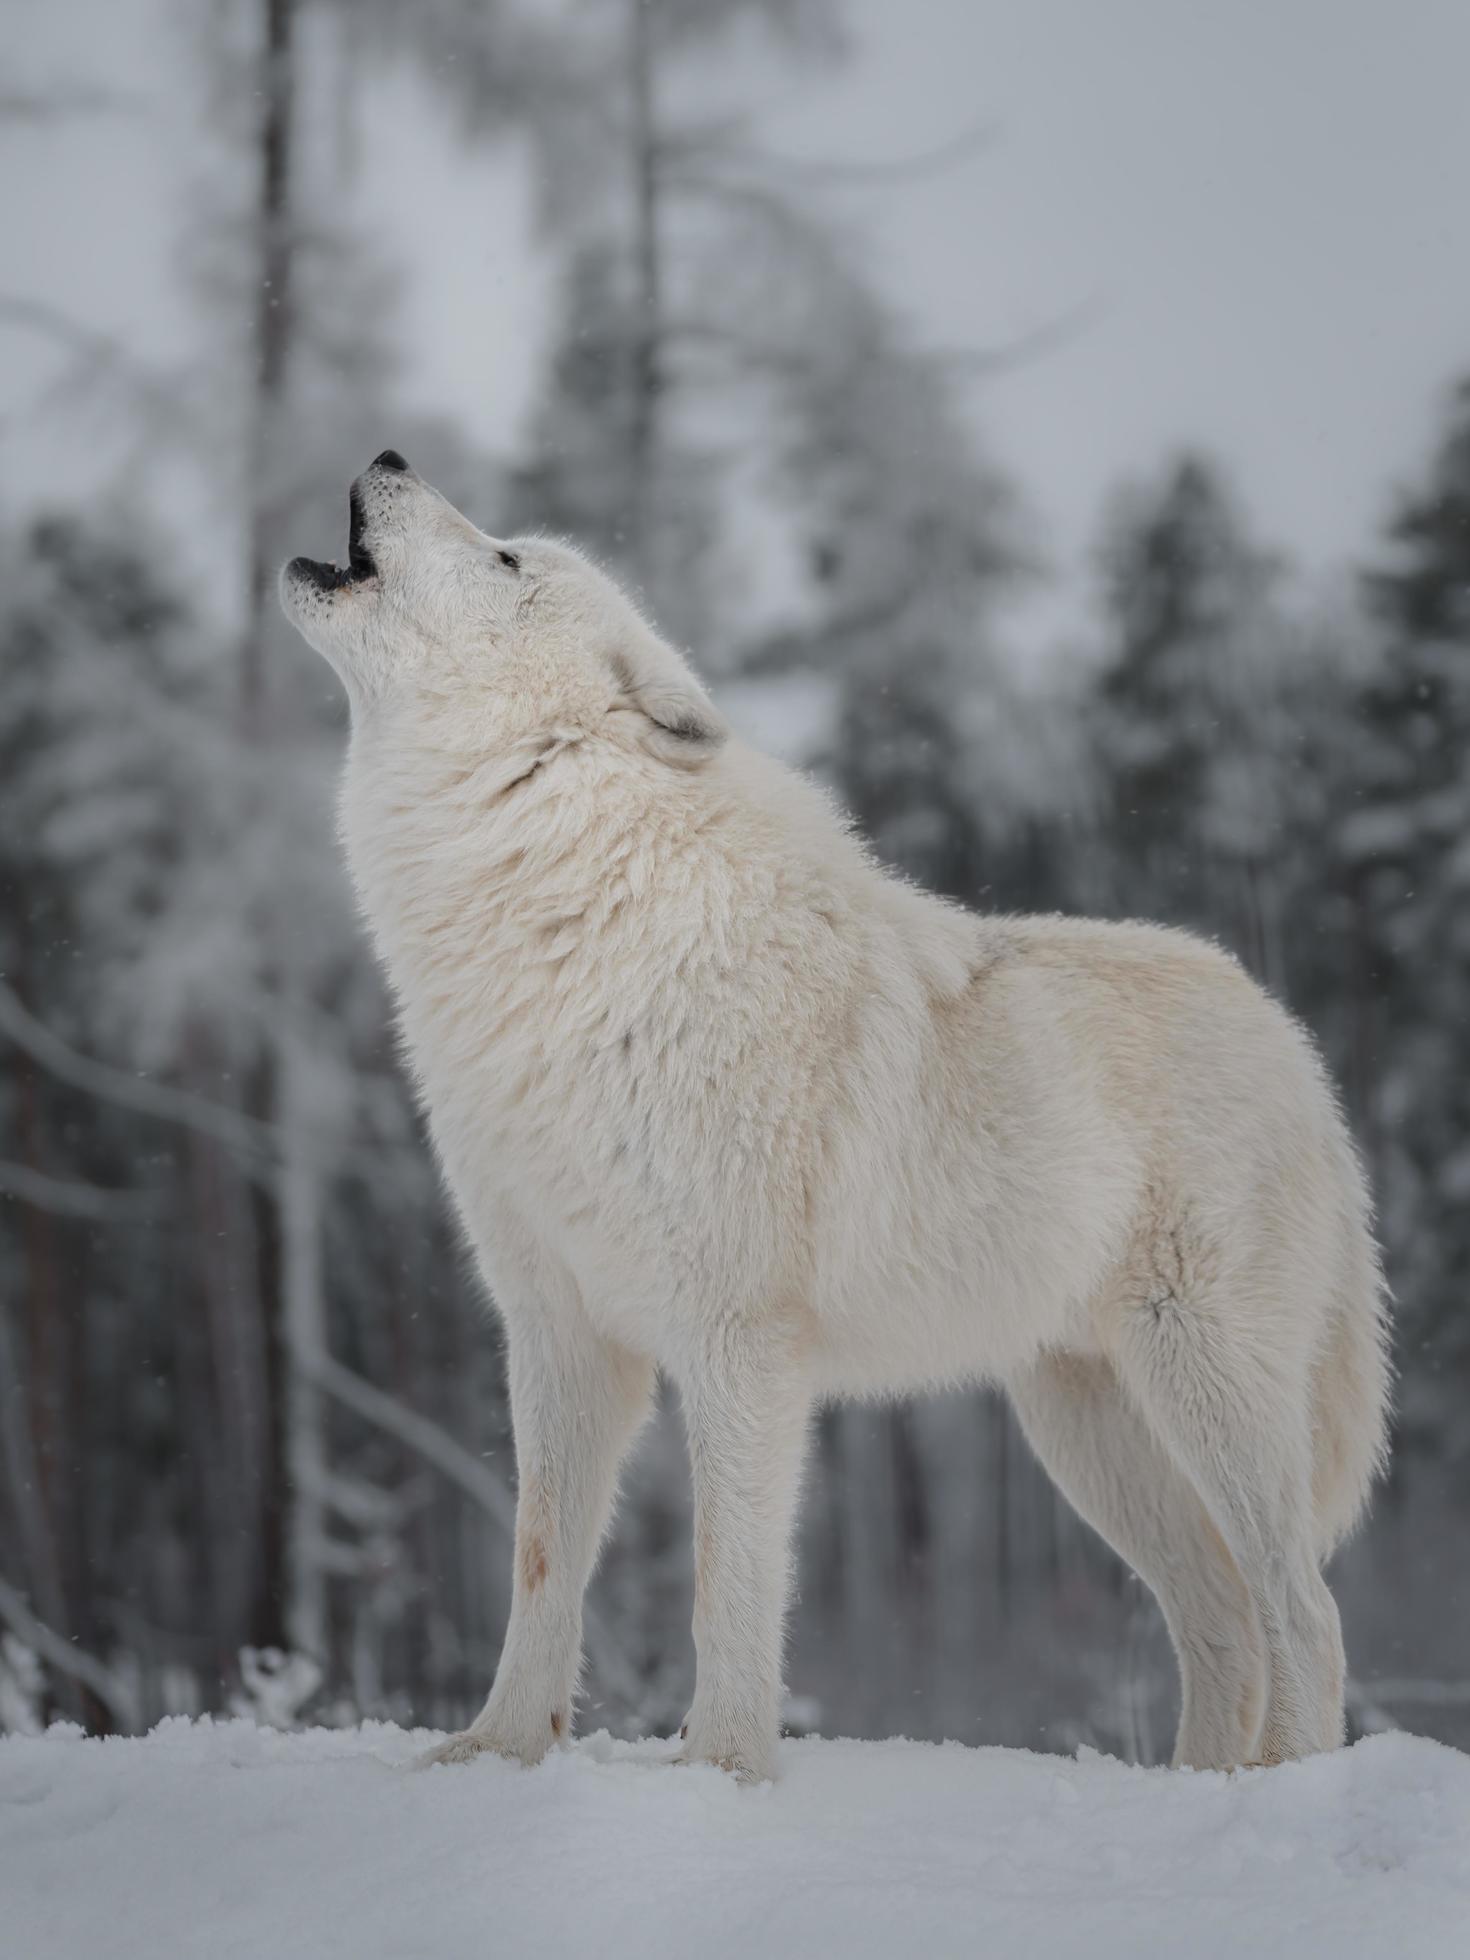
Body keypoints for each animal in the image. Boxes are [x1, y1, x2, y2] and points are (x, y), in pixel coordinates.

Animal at [278, 450, 1395, 1787]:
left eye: (504, 558)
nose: (389, 457)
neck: (565, 901)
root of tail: (1298, 1045)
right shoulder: (555, 1328)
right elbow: (541, 1561)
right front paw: (495, 1752)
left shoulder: (739, 1341)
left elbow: (727, 1583)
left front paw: (720, 1772)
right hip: (1087, 1430)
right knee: (1225, 1615)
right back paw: (1202, 1790)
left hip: (1208, 1392)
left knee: (1308, 1614)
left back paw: (1289, 1788)